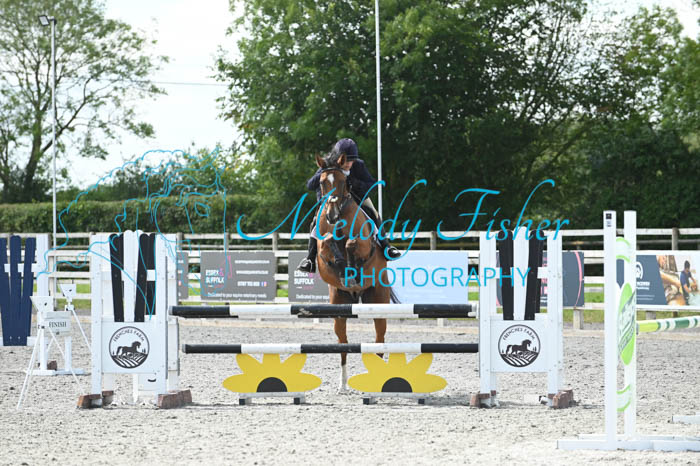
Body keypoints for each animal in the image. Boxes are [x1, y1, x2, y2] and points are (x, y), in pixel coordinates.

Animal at [313, 151, 397, 391]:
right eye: (322, 183)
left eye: (343, 182)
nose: (331, 215)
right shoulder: (321, 246)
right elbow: (328, 243)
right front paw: (342, 267)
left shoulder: (364, 245)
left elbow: (352, 244)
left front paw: (350, 267)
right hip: (340, 306)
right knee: (343, 343)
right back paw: (342, 385)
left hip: (378, 300)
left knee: (379, 341)